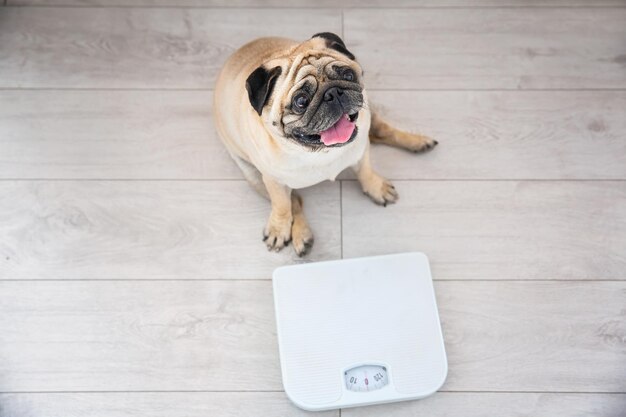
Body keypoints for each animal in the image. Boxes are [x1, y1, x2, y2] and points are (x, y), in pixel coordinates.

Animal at [212, 32, 436, 255]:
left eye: (348, 76)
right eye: (301, 101)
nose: (333, 93)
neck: (319, 153)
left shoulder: (361, 151)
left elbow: (365, 172)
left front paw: (375, 187)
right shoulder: (273, 181)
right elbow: (283, 206)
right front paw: (279, 228)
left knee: (382, 130)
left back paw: (417, 142)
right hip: (253, 176)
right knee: (295, 202)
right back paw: (301, 234)